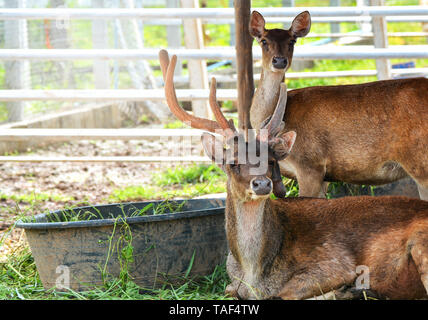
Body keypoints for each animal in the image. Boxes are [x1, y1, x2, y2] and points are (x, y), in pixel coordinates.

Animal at [160, 50, 428, 300]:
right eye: (233, 163)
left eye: (270, 160)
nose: (261, 184)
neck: (254, 273)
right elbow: (230, 290)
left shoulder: (335, 262)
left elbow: (287, 293)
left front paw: (346, 290)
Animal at [247, 11, 428, 199]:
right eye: (263, 41)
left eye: (292, 41)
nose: (279, 61)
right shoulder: (324, 177)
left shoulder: (309, 164)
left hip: (420, 163)